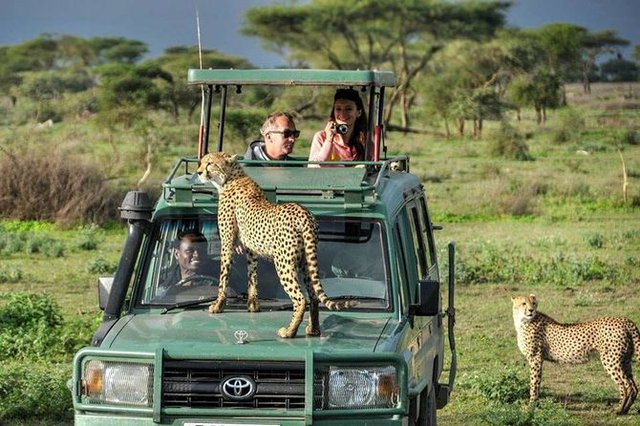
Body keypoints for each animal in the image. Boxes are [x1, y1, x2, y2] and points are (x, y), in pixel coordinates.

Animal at [196, 151, 352, 338]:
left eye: (209, 163)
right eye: (202, 162)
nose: (198, 172)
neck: (230, 178)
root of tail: (305, 213)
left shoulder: (226, 241)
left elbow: (224, 275)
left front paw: (218, 305)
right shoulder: (251, 248)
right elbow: (252, 274)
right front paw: (253, 305)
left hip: (283, 263)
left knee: (300, 298)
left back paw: (289, 331)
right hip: (306, 261)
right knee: (313, 295)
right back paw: (313, 329)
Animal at [512, 292, 640, 412]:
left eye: (533, 303)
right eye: (524, 303)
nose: (531, 310)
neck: (522, 321)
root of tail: (624, 320)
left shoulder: (535, 359)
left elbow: (534, 383)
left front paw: (531, 406)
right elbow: (535, 382)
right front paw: (534, 405)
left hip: (610, 360)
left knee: (626, 385)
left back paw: (619, 409)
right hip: (625, 360)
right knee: (634, 386)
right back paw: (625, 409)